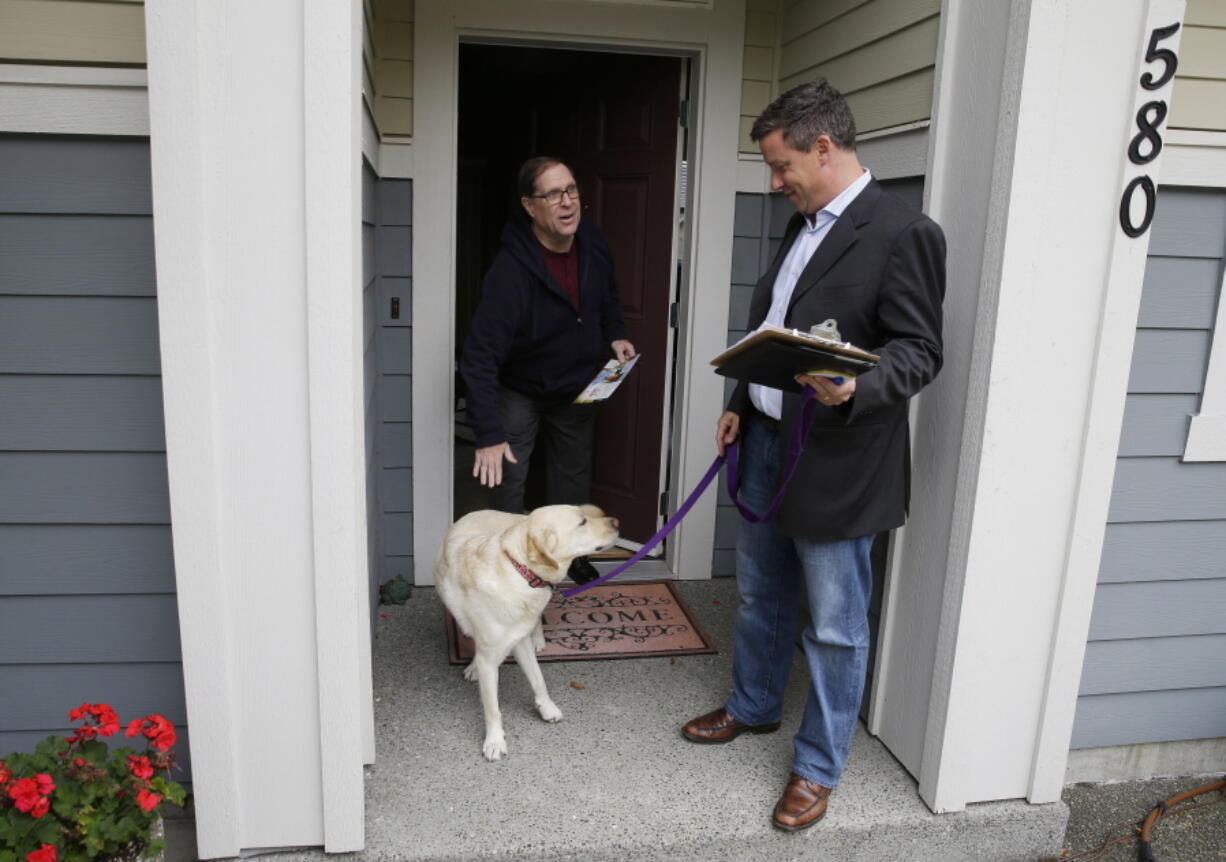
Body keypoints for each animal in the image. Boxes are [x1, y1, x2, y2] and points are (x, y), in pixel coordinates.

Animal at [436, 505, 617, 760]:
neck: (519, 571)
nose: (617, 522)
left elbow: (538, 679)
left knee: (537, 619)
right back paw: (473, 666)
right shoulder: (490, 658)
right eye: (582, 522)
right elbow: (492, 707)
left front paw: (547, 707)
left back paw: (537, 638)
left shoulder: (520, 641)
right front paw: (495, 740)